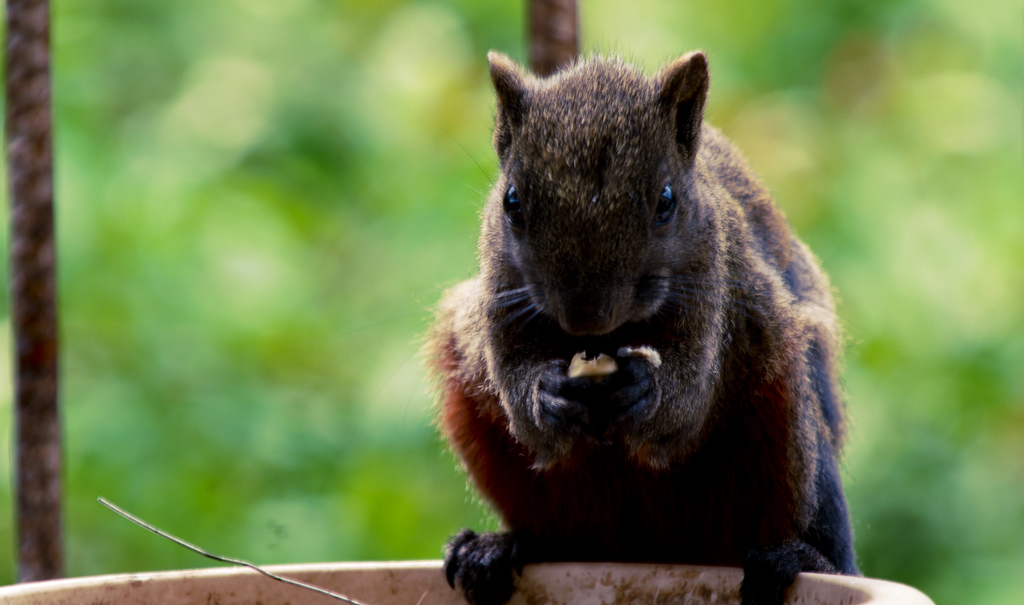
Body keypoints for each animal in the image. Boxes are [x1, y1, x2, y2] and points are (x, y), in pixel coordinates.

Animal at [428, 50, 860, 605]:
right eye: (512, 202)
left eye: (666, 201)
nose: (586, 318)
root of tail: (655, 548)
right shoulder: (500, 295)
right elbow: (518, 395)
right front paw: (545, 395)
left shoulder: (717, 285)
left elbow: (689, 395)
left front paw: (647, 391)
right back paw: (495, 549)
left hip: (784, 406)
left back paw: (803, 558)